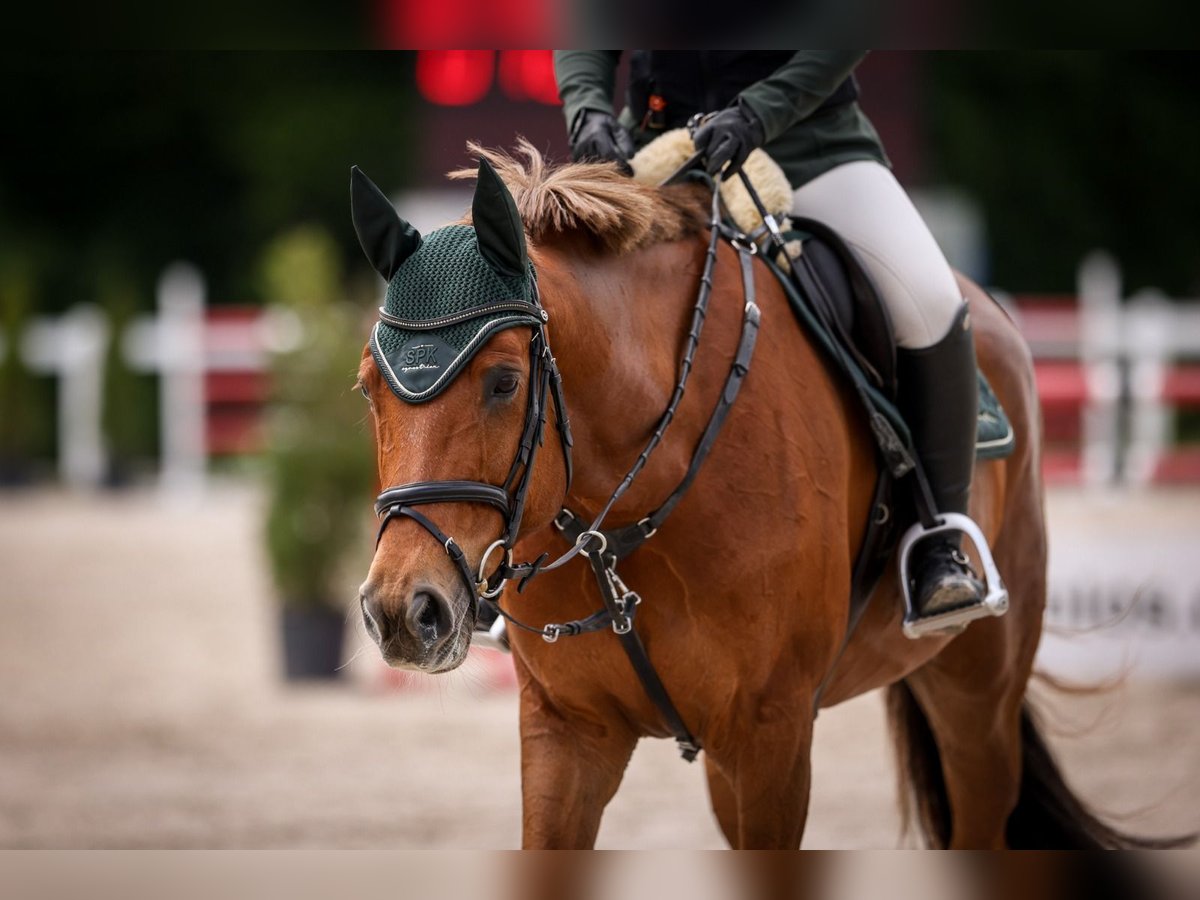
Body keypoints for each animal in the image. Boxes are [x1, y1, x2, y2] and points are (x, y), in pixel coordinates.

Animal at [350, 141, 1171, 854]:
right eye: (366, 388)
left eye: (504, 382)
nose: (402, 612)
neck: (622, 517)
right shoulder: (568, 732)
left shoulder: (771, 734)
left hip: (978, 689)